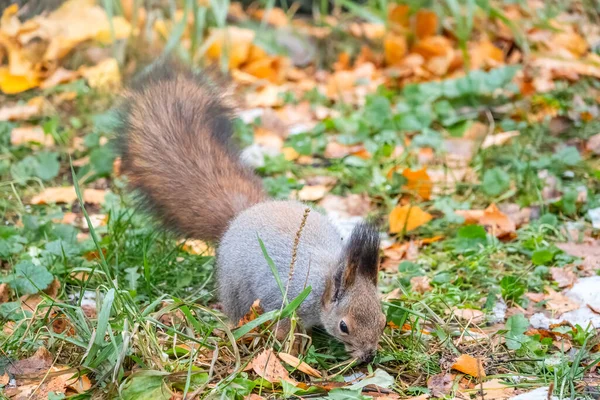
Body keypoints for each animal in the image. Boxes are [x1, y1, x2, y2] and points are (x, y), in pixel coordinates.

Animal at [116, 59, 384, 362]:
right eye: (343, 326)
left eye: (383, 319)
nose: (368, 356)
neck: (325, 279)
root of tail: (246, 213)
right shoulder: (283, 298)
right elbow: (285, 326)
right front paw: (292, 348)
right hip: (235, 290)